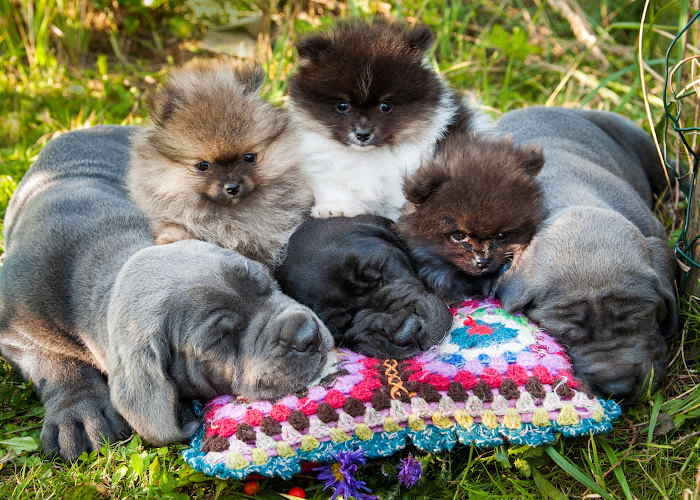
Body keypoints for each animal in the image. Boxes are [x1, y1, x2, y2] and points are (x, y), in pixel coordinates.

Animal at [0, 126, 334, 460]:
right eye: (220, 339)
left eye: (266, 282)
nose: (306, 335)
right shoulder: (14, 327)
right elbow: (54, 362)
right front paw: (79, 414)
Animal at [288, 19, 484, 219]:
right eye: (342, 106)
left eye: (385, 106)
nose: (362, 134)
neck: (367, 156)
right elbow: (333, 185)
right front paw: (335, 207)